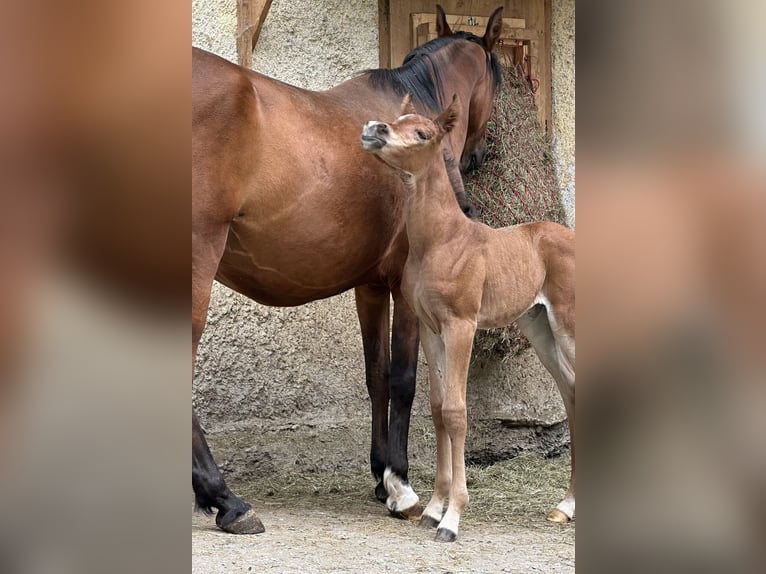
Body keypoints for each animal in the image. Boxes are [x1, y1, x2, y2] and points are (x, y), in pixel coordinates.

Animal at [192, 5, 508, 536]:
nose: (477, 158)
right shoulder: (403, 285)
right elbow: (403, 379)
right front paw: (401, 484)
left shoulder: (371, 286)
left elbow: (375, 375)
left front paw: (382, 477)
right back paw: (226, 499)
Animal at [364, 95, 576, 544]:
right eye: (395, 119)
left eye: (422, 132)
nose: (373, 130)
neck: (441, 240)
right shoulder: (431, 329)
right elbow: (438, 407)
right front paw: (432, 510)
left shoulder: (461, 326)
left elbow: (457, 412)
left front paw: (453, 518)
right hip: (540, 329)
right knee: (571, 393)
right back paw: (565, 507)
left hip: (570, 326)